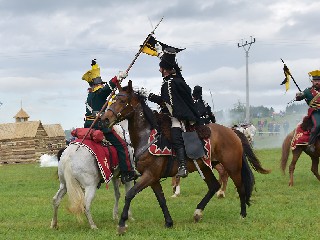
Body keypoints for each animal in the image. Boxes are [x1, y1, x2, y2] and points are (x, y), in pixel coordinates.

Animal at [102, 81, 270, 234]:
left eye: (122, 101)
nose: (105, 119)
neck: (147, 136)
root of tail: (232, 131)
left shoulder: (149, 175)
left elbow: (129, 194)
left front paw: (122, 224)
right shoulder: (153, 178)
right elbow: (161, 199)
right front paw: (169, 222)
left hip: (232, 166)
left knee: (240, 187)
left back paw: (242, 214)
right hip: (206, 166)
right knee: (213, 186)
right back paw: (198, 213)